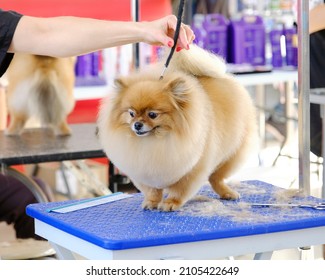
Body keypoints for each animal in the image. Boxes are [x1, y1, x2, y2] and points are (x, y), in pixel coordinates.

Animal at [97, 44, 256, 210]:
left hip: (230, 155)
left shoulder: (191, 170)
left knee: (216, 178)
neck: (154, 142)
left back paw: (227, 193)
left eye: (152, 114)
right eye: (131, 113)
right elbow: (153, 190)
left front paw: (171, 203)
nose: (137, 125)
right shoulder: (145, 170)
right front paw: (151, 202)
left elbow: (180, 190)